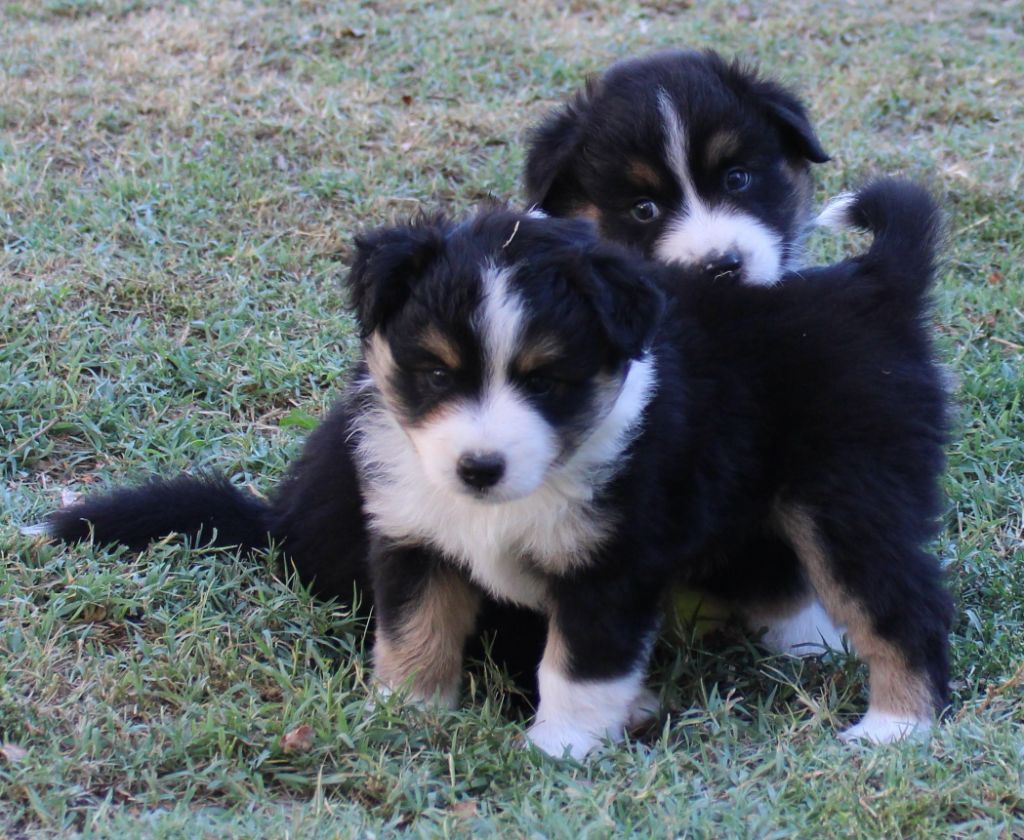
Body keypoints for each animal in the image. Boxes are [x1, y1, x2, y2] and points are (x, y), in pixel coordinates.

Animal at [37, 180, 950, 758]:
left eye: (545, 380)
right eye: (437, 373)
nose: (478, 468)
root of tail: (871, 283)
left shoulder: (609, 562)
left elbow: (577, 664)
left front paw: (562, 750)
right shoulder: (413, 534)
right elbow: (414, 633)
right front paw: (406, 716)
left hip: (846, 493)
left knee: (898, 602)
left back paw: (894, 728)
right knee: (777, 580)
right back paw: (806, 651)